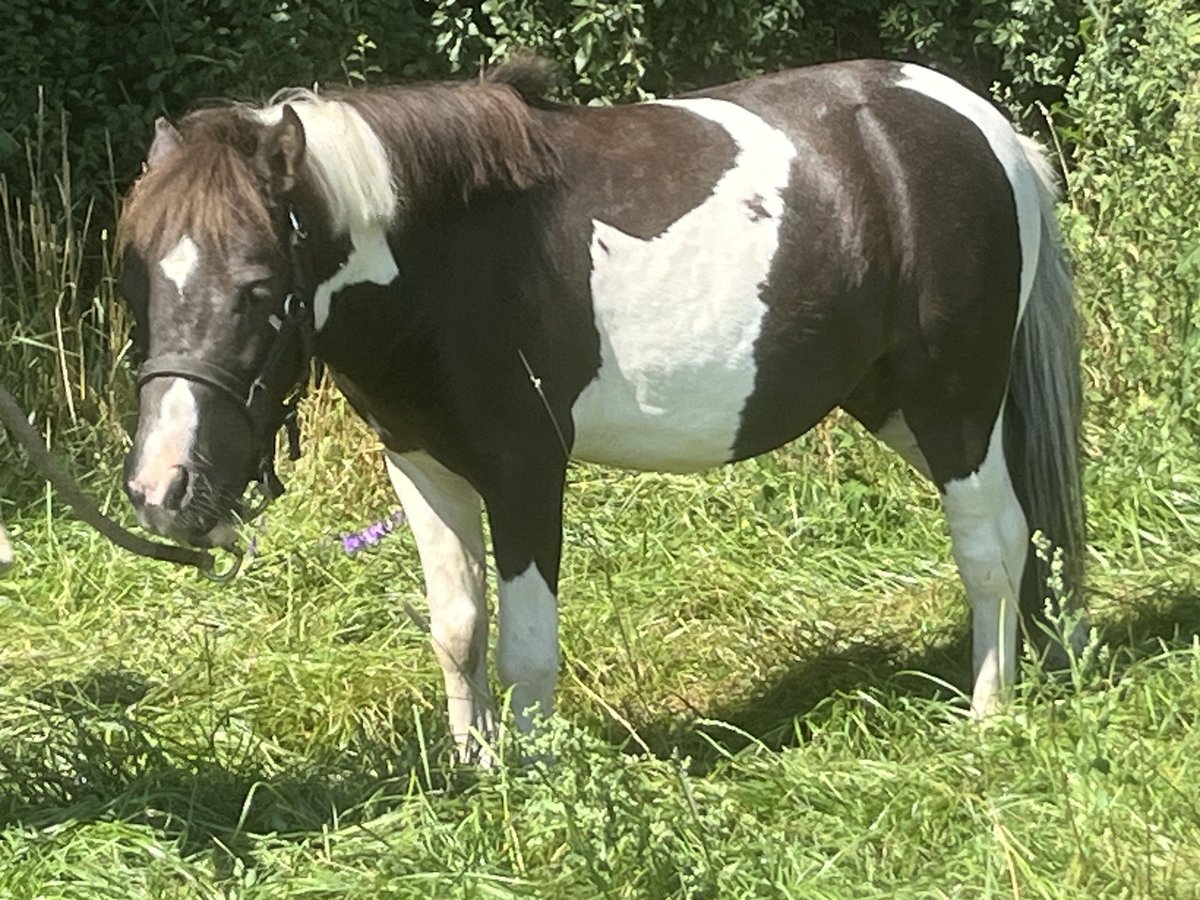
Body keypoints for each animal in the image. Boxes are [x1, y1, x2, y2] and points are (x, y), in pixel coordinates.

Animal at [117, 58, 1084, 763]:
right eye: (141, 280)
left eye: (258, 288)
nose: (163, 489)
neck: (451, 262)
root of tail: (979, 122)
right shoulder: (422, 467)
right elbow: (458, 629)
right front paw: (476, 772)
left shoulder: (525, 472)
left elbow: (527, 647)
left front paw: (540, 782)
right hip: (897, 403)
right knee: (1024, 531)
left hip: (953, 399)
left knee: (991, 543)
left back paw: (990, 716)